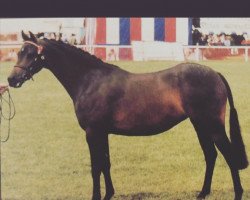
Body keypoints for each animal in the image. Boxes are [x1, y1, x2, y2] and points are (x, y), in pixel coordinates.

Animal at [6, 31, 247, 200]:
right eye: (19, 52)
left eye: (31, 54)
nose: (11, 79)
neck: (90, 80)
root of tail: (214, 73)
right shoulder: (102, 133)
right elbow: (105, 163)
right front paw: (109, 193)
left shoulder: (92, 133)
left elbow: (95, 167)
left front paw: (96, 195)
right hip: (200, 124)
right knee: (211, 155)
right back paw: (203, 192)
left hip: (212, 125)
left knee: (228, 155)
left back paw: (237, 193)